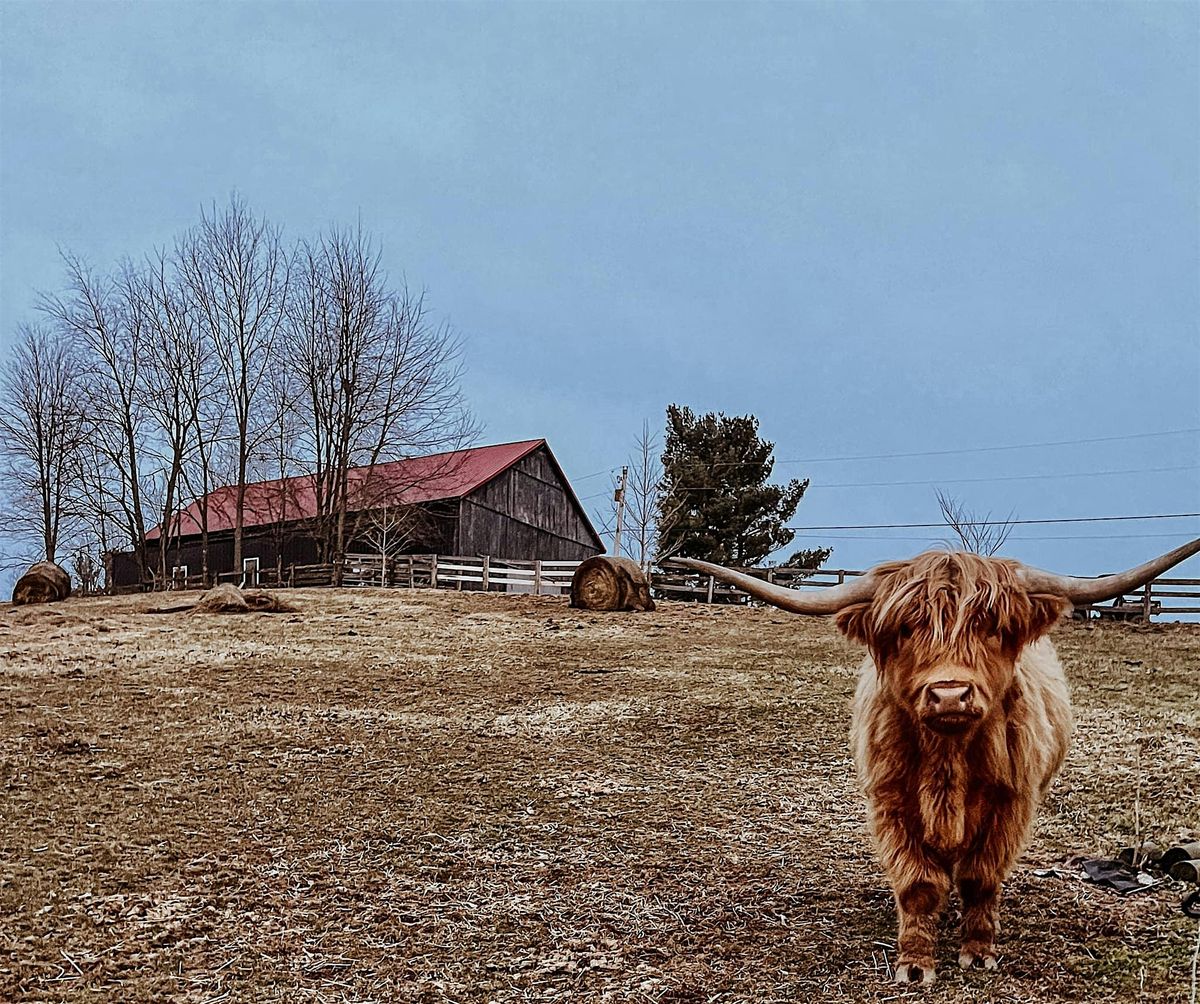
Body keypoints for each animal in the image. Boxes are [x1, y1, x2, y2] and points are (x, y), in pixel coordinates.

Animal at [681, 539, 1200, 988]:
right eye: (906, 628)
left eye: (992, 627)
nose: (950, 693)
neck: (947, 764)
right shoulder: (891, 805)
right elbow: (919, 885)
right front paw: (915, 963)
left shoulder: (1010, 805)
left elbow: (980, 878)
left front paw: (978, 951)